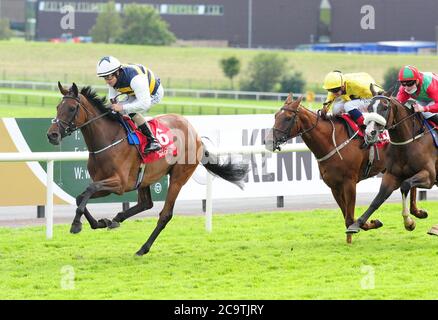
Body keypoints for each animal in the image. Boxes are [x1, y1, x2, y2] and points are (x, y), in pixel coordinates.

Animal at [48, 82, 250, 255]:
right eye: (57, 107)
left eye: (71, 108)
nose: (52, 135)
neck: (108, 140)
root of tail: (196, 134)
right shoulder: (105, 183)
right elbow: (81, 197)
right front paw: (99, 222)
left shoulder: (119, 184)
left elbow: (89, 190)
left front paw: (76, 224)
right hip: (144, 178)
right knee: (146, 204)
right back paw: (117, 219)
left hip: (178, 178)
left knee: (165, 214)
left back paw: (143, 248)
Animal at [266, 94, 426, 244]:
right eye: (275, 116)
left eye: (287, 118)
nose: (268, 141)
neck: (332, 142)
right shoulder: (334, 186)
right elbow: (347, 217)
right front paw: (356, 234)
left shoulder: (349, 183)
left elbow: (350, 218)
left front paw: (367, 226)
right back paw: (417, 212)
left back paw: (415, 213)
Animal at [348, 92, 436, 235]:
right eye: (369, 107)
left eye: (385, 107)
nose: (370, 133)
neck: (408, 143)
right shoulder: (391, 175)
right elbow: (377, 199)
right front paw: (356, 224)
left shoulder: (429, 176)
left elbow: (405, 185)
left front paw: (409, 222)